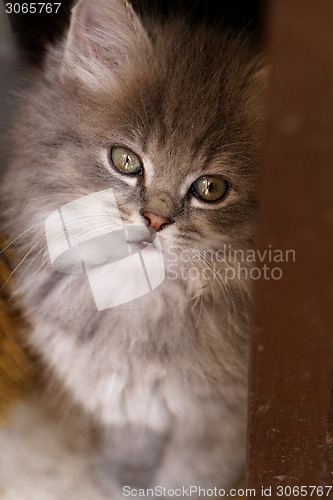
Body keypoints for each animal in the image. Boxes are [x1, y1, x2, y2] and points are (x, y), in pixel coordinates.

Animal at [0, 0, 264, 496]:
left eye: (211, 188)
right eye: (125, 161)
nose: (155, 221)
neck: (142, 300)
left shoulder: (216, 423)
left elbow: (188, 476)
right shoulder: (125, 405)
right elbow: (132, 456)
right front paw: (119, 483)